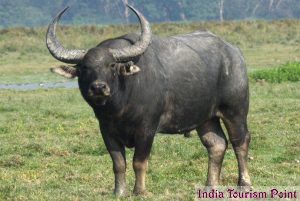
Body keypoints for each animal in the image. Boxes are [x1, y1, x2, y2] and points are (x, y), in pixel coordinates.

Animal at [46, 5, 251, 196]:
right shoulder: (106, 130)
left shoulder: (146, 129)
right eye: (84, 67)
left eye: (111, 65)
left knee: (240, 142)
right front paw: (119, 191)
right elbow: (118, 163)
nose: (98, 87)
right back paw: (210, 185)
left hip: (235, 111)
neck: (119, 108)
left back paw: (244, 184)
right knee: (216, 144)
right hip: (206, 117)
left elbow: (139, 162)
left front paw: (139, 191)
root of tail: (234, 53)